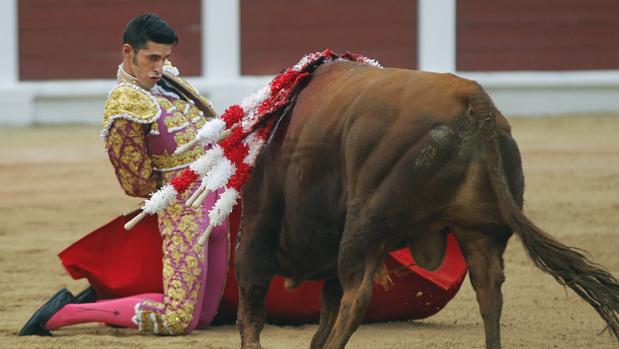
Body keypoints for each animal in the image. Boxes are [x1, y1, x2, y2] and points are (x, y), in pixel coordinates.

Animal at [234, 60, 619, 348]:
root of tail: (471, 96)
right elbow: (324, 306)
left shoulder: (257, 230)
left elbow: (253, 309)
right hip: (481, 230)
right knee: (489, 292)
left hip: (366, 225)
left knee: (356, 295)